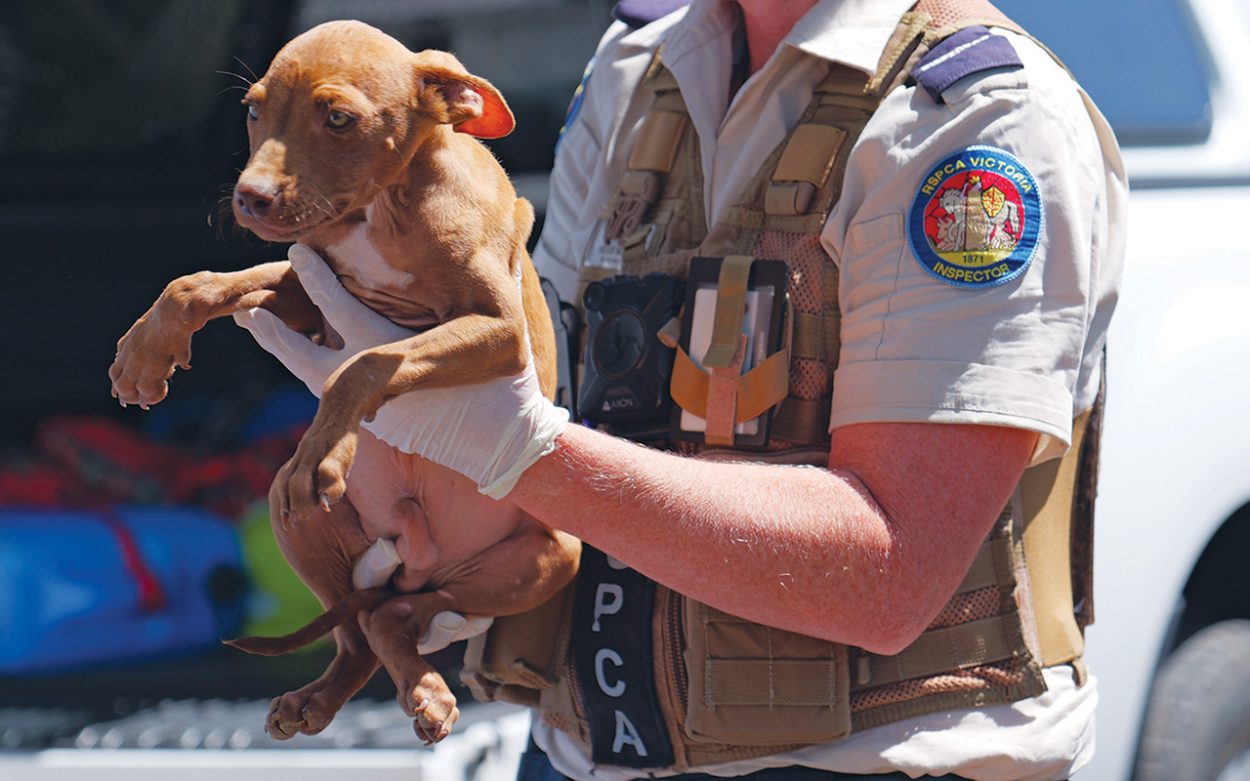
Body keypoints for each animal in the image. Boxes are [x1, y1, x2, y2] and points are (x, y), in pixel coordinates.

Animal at [107, 21, 575, 744]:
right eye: (253, 111)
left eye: (338, 119)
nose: (249, 198)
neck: (382, 212)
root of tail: (418, 558)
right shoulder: (311, 290)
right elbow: (202, 282)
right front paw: (144, 355)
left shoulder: (500, 332)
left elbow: (368, 362)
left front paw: (326, 451)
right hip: (294, 518)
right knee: (364, 629)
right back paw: (328, 698)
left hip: (551, 556)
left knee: (394, 616)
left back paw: (424, 688)